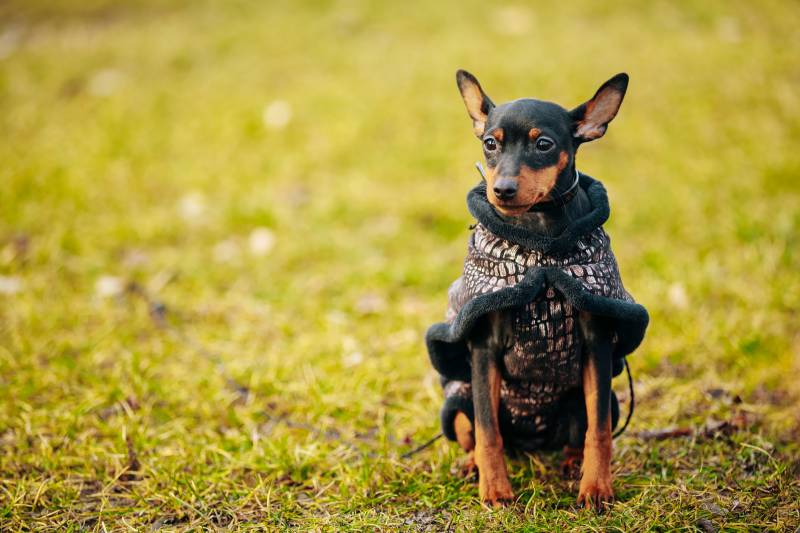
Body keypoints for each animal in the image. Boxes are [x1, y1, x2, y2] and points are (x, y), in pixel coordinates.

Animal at [428, 68, 648, 510]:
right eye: (490, 143)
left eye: (543, 144)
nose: (502, 190)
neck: (539, 240)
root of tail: (533, 444)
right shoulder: (483, 349)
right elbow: (488, 432)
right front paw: (495, 491)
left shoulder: (596, 343)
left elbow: (599, 431)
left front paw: (596, 487)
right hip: (459, 400)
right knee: (474, 430)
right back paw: (472, 467)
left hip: (591, 400)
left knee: (583, 429)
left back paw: (572, 463)